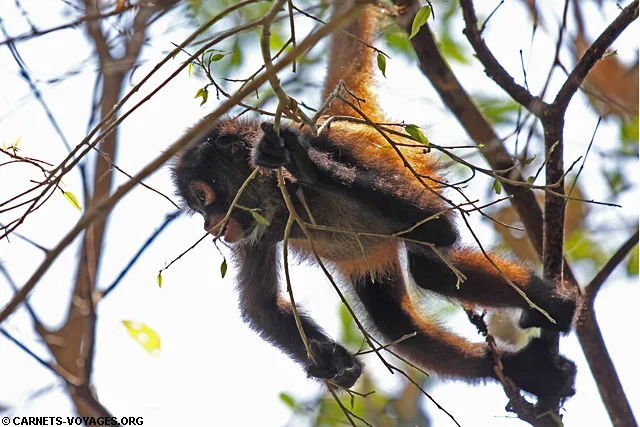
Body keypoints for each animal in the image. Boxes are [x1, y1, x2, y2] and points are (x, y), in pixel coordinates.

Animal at [171, 3, 577, 400]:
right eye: (198, 207)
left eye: (203, 197)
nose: (209, 224)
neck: (285, 205)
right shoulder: (252, 230)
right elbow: (263, 307)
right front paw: (333, 362)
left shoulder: (335, 147)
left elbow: (440, 226)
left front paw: (304, 162)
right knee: (398, 317)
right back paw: (524, 369)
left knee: (431, 268)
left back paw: (553, 303)